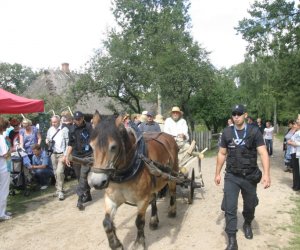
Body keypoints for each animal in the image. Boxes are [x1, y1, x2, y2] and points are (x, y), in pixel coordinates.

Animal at [88, 112, 178, 250]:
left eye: (113, 147)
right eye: (91, 146)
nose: (97, 182)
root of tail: (168, 136)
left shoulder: (142, 200)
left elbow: (139, 222)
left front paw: (139, 243)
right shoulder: (111, 199)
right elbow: (106, 222)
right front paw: (116, 245)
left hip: (172, 174)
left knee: (173, 191)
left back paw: (172, 211)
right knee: (154, 199)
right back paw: (153, 221)